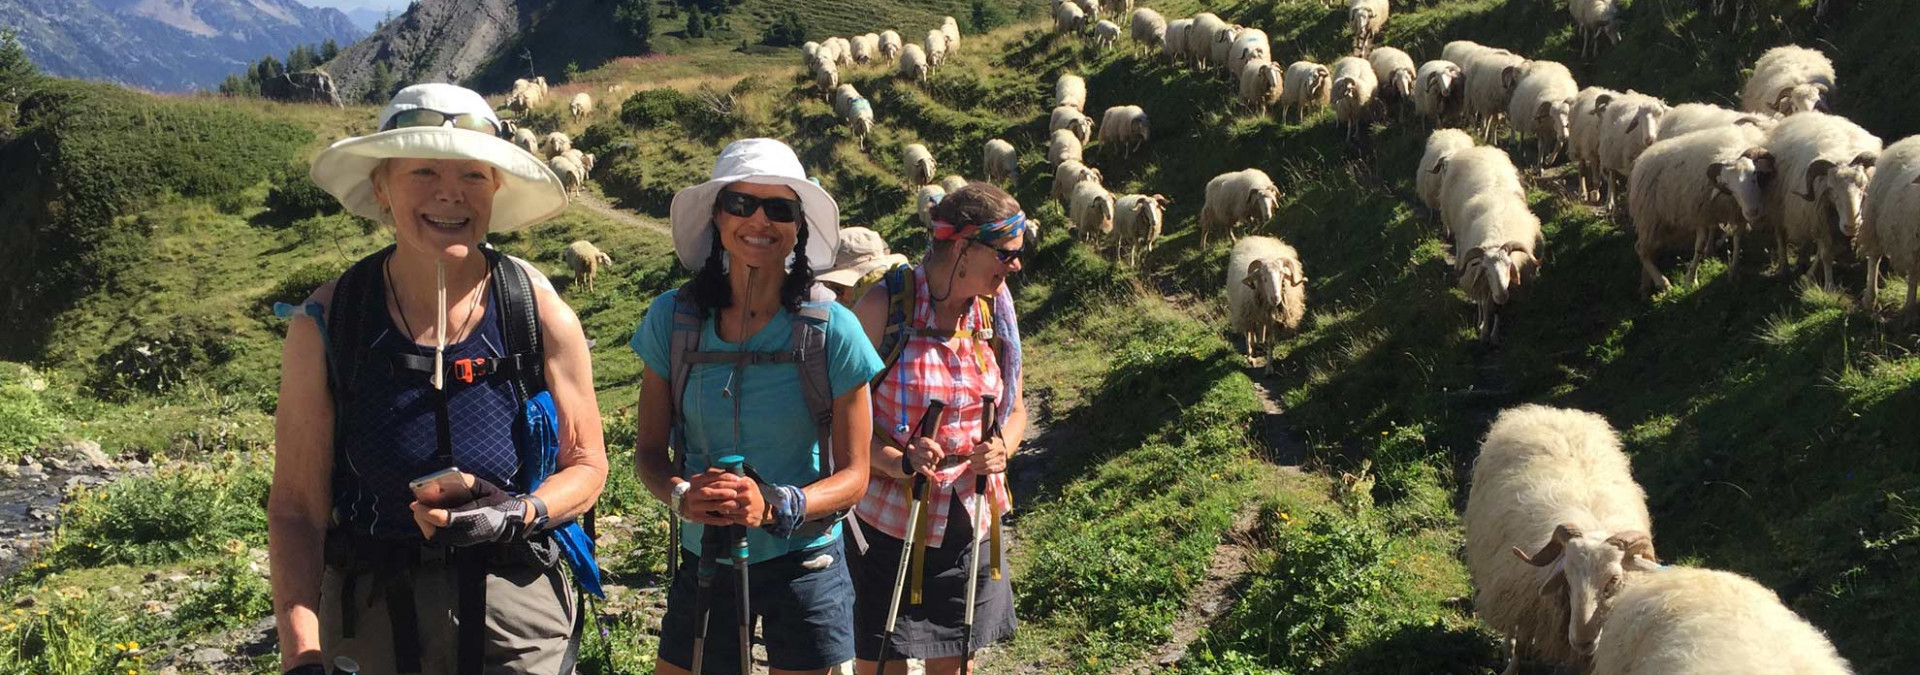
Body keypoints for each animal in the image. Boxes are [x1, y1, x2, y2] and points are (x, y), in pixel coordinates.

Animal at [1459, 406, 1658, 675]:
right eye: (1567, 578)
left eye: (1614, 580)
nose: (1582, 640)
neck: (1594, 524)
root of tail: (1552, 412)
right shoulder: (1528, 603)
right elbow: (1522, 643)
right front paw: (1512, 666)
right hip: (1502, 575)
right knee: (1510, 623)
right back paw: (1507, 647)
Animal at [1628, 125, 1774, 293]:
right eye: (1727, 185)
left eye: (1755, 175)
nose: (1752, 211)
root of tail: (1641, 159)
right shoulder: (1700, 213)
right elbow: (1700, 245)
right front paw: (1691, 279)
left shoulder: (1737, 213)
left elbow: (1737, 240)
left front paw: (1733, 273)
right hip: (1650, 218)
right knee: (1640, 249)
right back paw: (1663, 282)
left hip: (1664, 224)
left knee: (1648, 250)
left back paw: (1646, 284)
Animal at [1758, 110, 1881, 287]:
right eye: (1831, 190)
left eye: (1864, 186)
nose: (1851, 225)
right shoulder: (1820, 220)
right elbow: (1827, 256)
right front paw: (1829, 286)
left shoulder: (1819, 219)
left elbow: (1823, 253)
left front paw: (1812, 275)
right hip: (1779, 206)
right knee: (1781, 237)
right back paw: (1785, 268)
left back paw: (1804, 264)